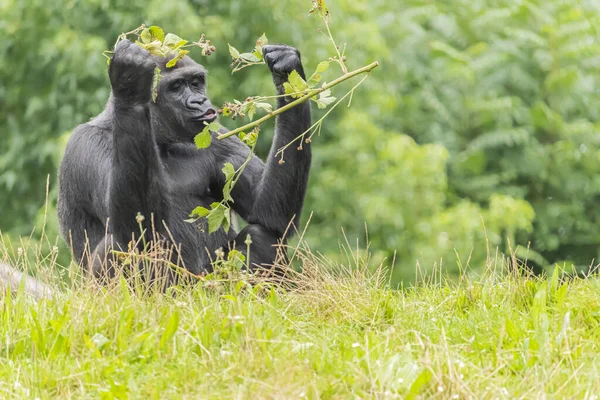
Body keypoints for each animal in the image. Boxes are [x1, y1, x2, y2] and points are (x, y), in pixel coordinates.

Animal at [58, 39, 312, 280]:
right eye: (176, 86)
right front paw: (131, 82)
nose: (200, 101)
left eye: (196, 82)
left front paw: (287, 69)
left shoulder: (214, 135)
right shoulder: (87, 144)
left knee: (260, 235)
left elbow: (267, 212)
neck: (160, 140)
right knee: (121, 243)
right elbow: (135, 227)